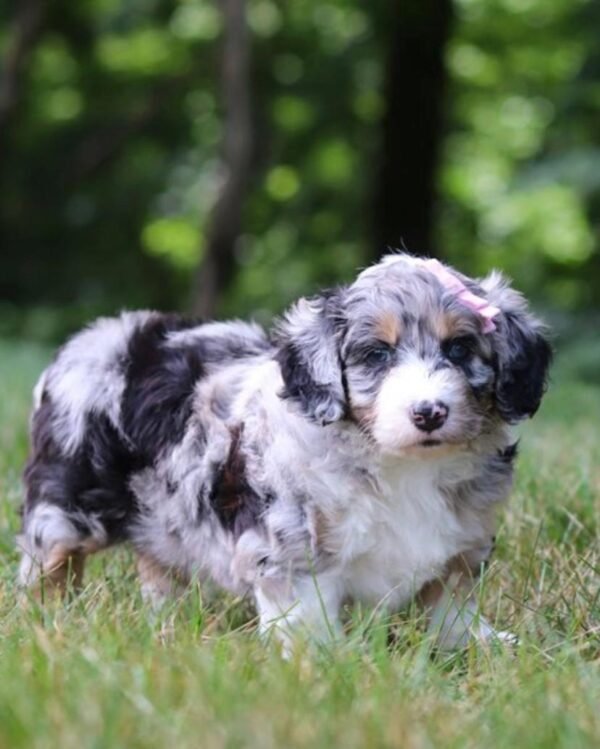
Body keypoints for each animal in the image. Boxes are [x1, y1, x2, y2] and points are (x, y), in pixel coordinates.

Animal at [16, 253, 552, 648]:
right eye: (377, 354)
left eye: (460, 348)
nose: (429, 412)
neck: (396, 463)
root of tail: (94, 338)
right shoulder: (289, 545)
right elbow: (306, 615)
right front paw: (326, 663)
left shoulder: (460, 544)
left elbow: (451, 605)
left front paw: (479, 643)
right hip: (67, 499)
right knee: (50, 558)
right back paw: (46, 619)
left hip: (163, 511)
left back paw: (165, 621)